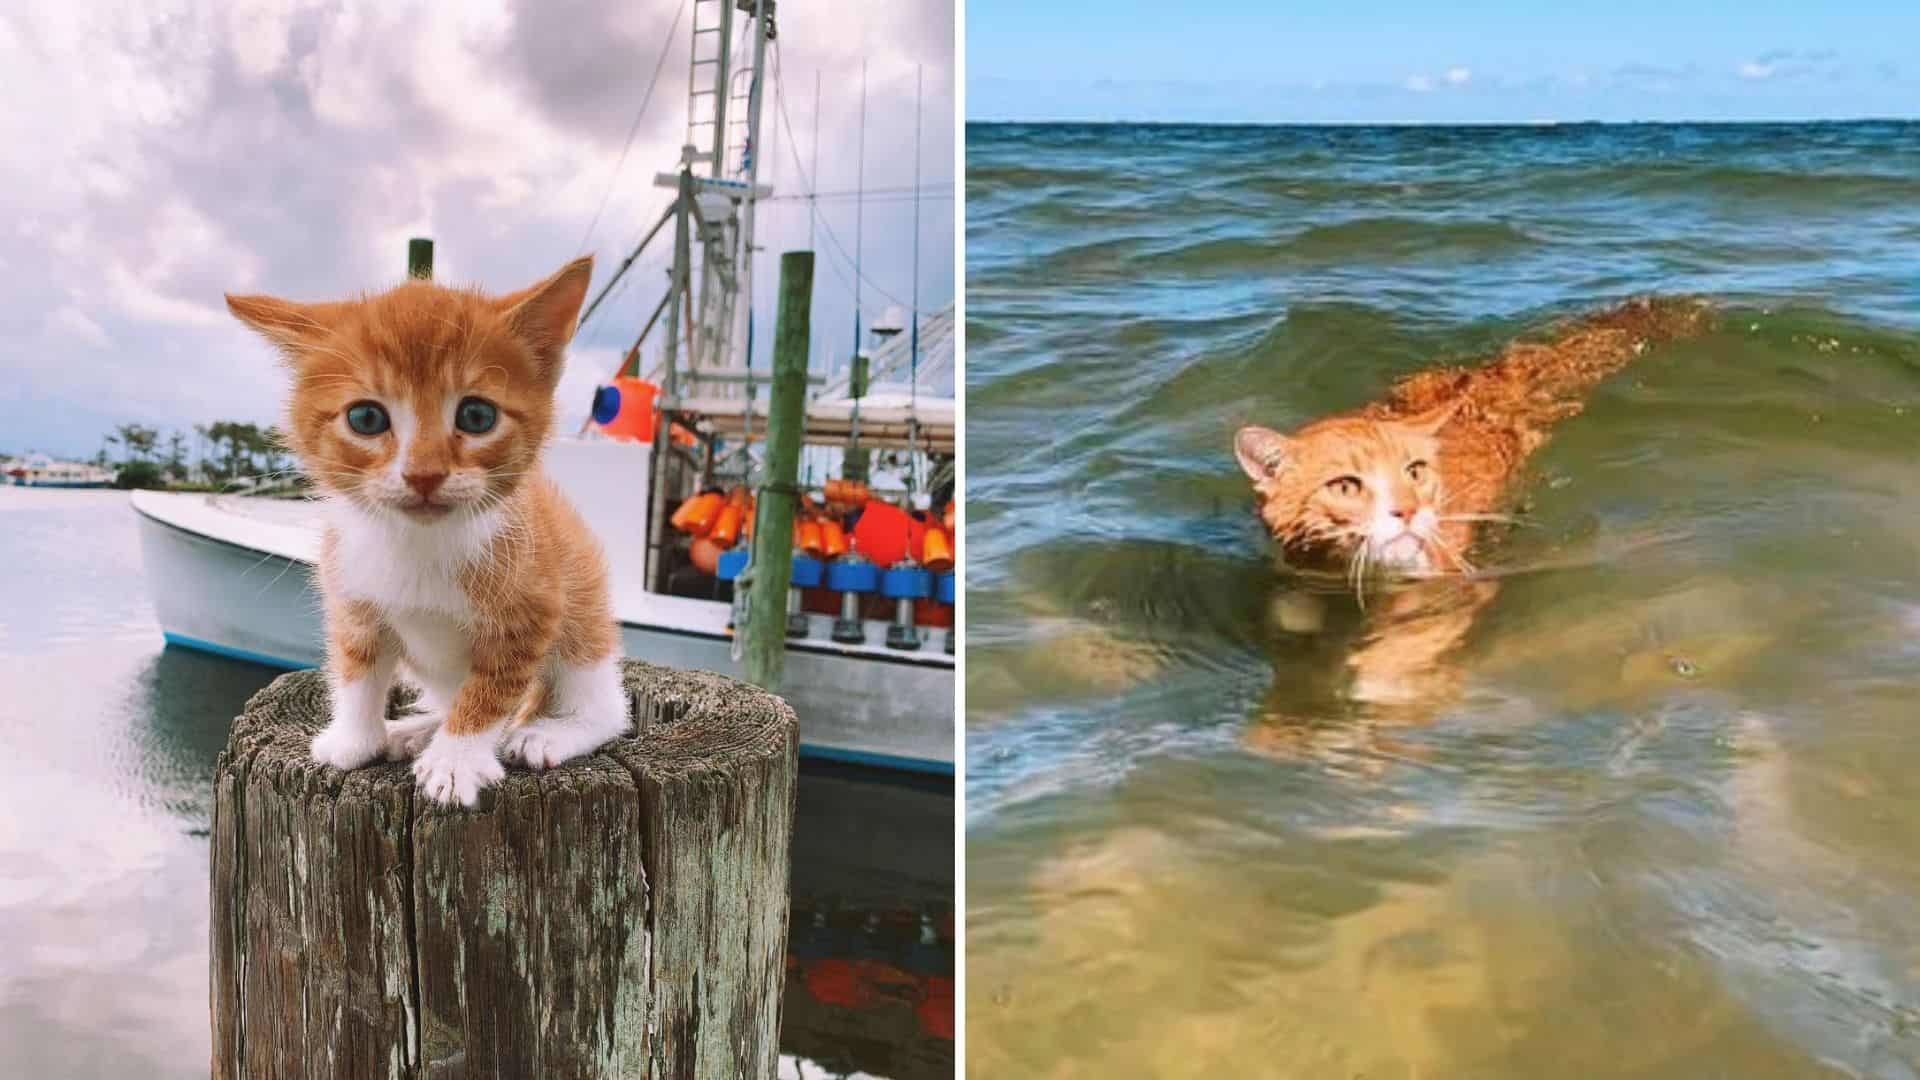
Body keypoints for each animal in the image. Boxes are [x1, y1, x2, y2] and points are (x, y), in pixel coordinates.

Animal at [224, 255, 629, 803]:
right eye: (366, 417)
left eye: (477, 415)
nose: (423, 475)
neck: (419, 540)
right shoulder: (353, 594)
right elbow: (356, 668)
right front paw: (354, 739)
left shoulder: (533, 609)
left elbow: (492, 689)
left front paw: (456, 759)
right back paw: (416, 730)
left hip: (583, 614)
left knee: (606, 709)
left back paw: (547, 733)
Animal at [1236, 294, 1720, 703]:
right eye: (1345, 486)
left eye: (1415, 471)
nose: (1408, 510)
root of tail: (1482, 378)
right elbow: (1291, 612)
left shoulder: (1451, 585)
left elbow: (1412, 637)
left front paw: (1379, 676)